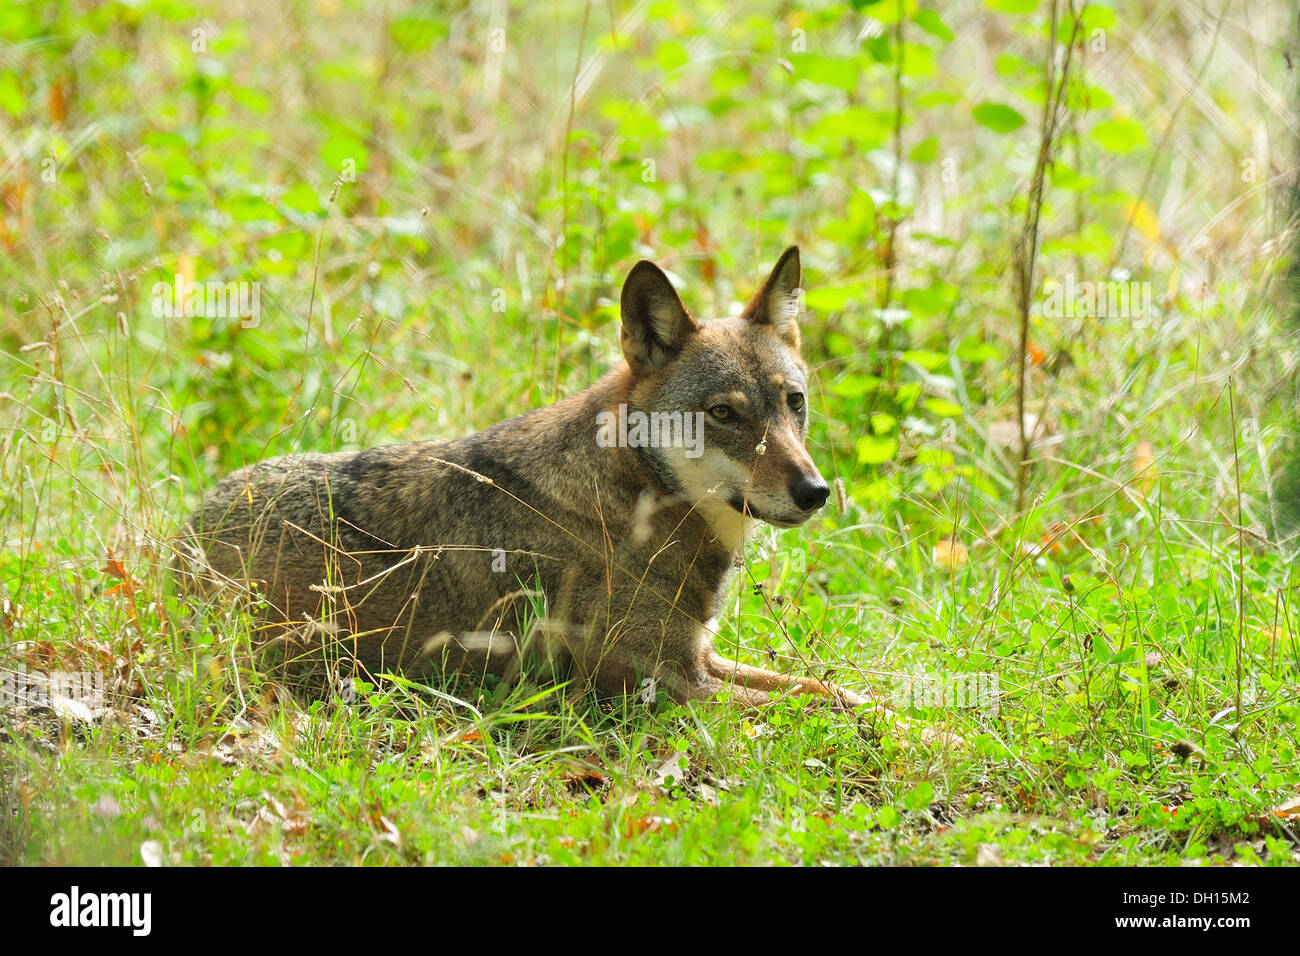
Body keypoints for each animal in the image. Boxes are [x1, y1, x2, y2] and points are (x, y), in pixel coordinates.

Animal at [178, 247, 868, 712]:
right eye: (724, 414)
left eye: (794, 404)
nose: (815, 493)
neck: (632, 502)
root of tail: (182, 535)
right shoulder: (666, 684)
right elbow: (827, 707)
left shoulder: (700, 659)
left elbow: (831, 687)